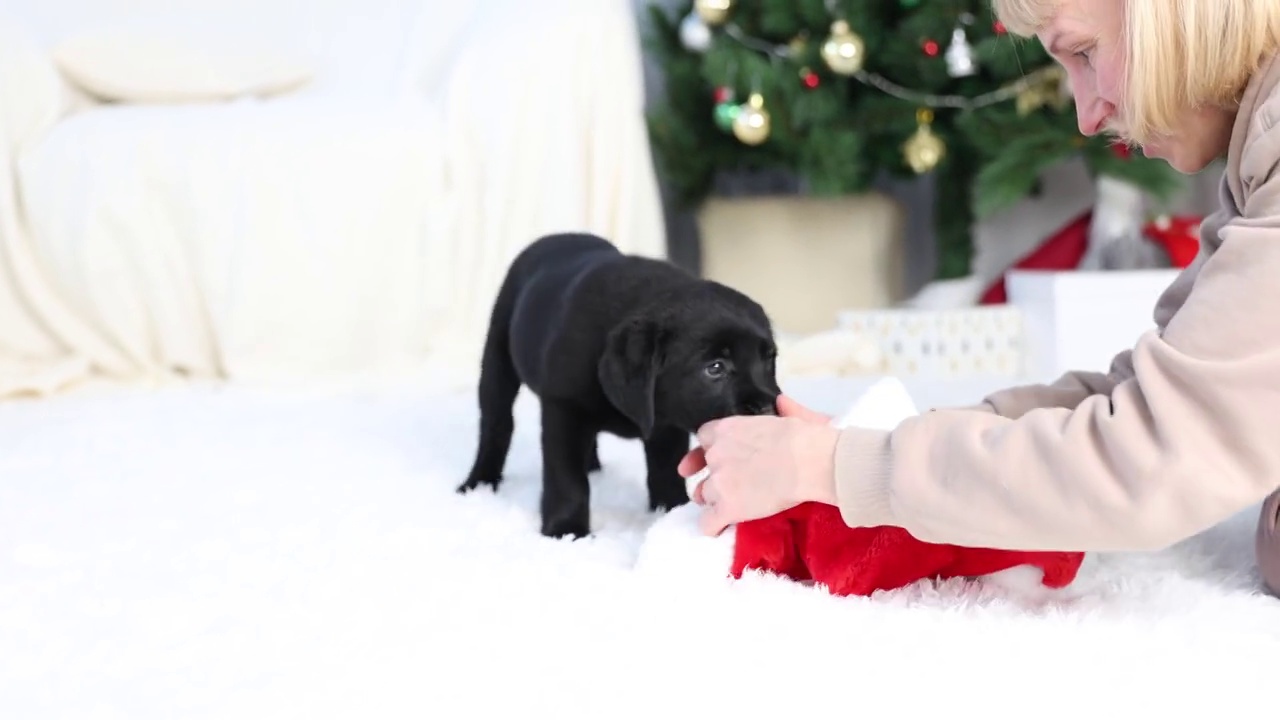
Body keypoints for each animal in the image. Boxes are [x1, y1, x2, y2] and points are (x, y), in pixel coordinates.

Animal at [460, 233, 778, 535]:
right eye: (715, 368)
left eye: (769, 359)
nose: (767, 409)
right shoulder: (564, 411)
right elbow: (568, 480)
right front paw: (566, 530)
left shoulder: (666, 427)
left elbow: (665, 472)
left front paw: (670, 515)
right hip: (498, 357)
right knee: (496, 424)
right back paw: (479, 483)